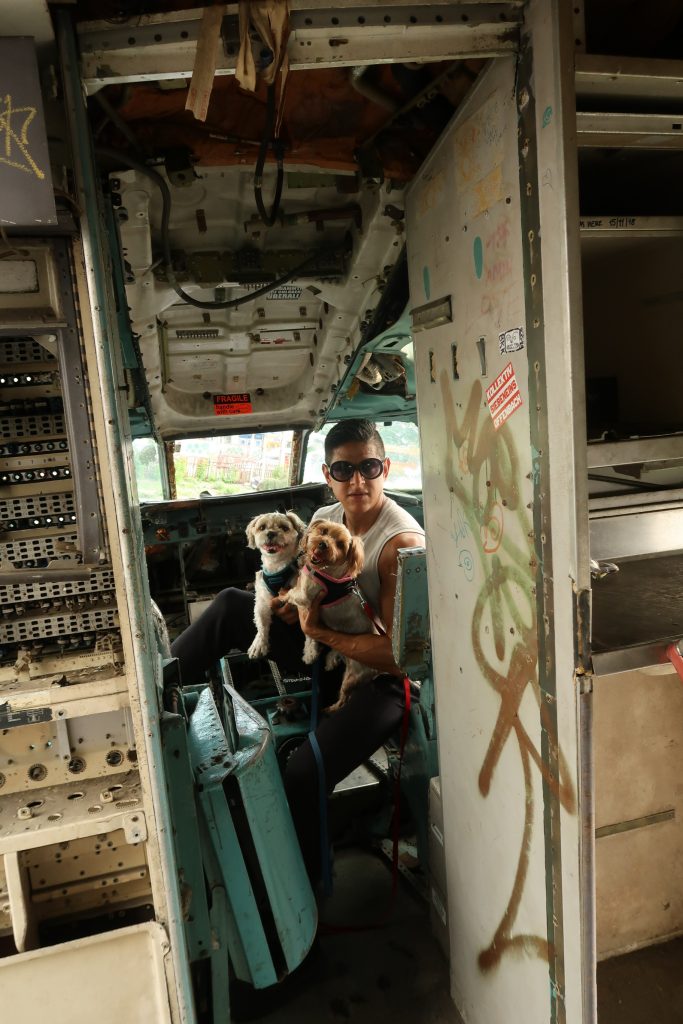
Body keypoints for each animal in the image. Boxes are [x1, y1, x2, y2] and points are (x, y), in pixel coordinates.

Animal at [245, 507, 307, 659]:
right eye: (262, 527)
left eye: (284, 528)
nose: (271, 533)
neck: (276, 567)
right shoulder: (262, 599)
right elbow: (261, 622)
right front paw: (259, 643)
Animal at [284, 520, 378, 712]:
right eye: (323, 531)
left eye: (340, 544)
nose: (323, 544)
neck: (324, 570)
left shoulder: (305, 596)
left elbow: (293, 593)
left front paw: (283, 596)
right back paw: (330, 660)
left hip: (351, 679)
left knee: (344, 699)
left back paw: (330, 709)